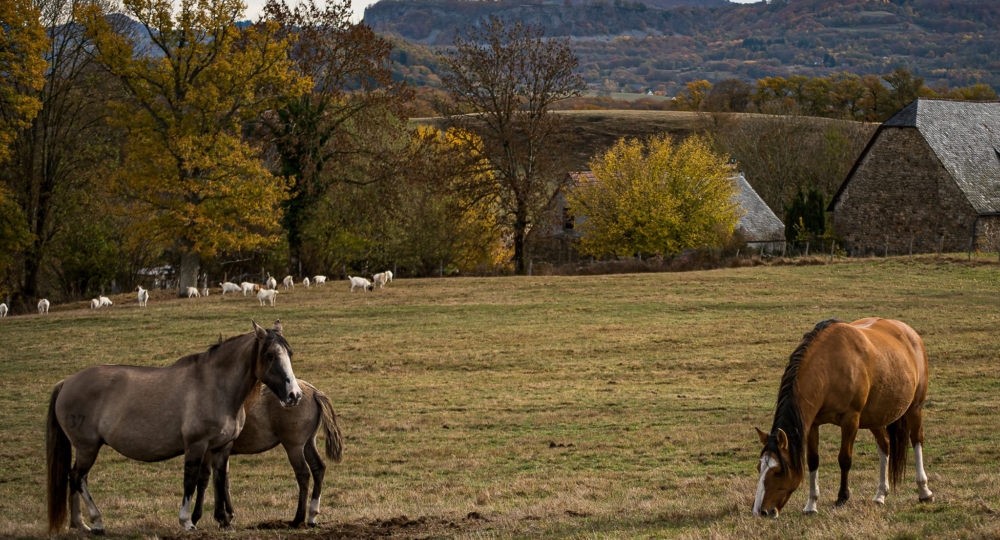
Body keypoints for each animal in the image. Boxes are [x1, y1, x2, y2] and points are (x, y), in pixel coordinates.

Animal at [47, 318, 302, 532]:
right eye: (270, 355)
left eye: (289, 353)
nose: (294, 395)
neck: (214, 386)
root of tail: (66, 382)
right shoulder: (196, 445)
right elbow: (190, 480)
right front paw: (187, 521)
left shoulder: (222, 447)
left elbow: (219, 481)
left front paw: (224, 520)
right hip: (87, 447)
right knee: (78, 477)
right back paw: (97, 521)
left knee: (73, 478)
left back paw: (80, 525)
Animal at [216, 380, 344, 528]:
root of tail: (313, 391)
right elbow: (224, 480)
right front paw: (228, 516)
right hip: (309, 443)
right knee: (318, 468)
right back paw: (312, 515)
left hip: (294, 447)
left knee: (303, 473)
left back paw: (298, 518)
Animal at [752, 318, 932, 516]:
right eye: (759, 468)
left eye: (778, 472)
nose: (760, 511)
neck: (830, 367)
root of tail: (909, 333)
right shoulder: (813, 424)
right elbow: (813, 460)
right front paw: (811, 504)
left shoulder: (850, 420)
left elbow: (844, 459)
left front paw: (841, 499)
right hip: (876, 417)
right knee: (884, 446)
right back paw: (880, 495)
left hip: (914, 408)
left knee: (916, 440)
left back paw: (924, 492)